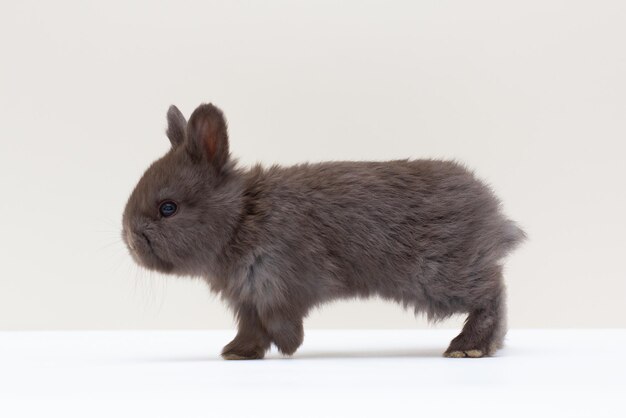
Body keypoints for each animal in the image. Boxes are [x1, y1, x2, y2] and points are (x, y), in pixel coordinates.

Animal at [120, 102, 520, 360]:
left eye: (167, 208)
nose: (130, 240)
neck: (242, 216)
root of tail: (492, 210)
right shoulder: (247, 298)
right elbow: (250, 328)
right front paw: (238, 353)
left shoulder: (277, 285)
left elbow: (280, 322)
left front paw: (287, 346)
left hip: (441, 274)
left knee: (492, 292)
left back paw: (469, 346)